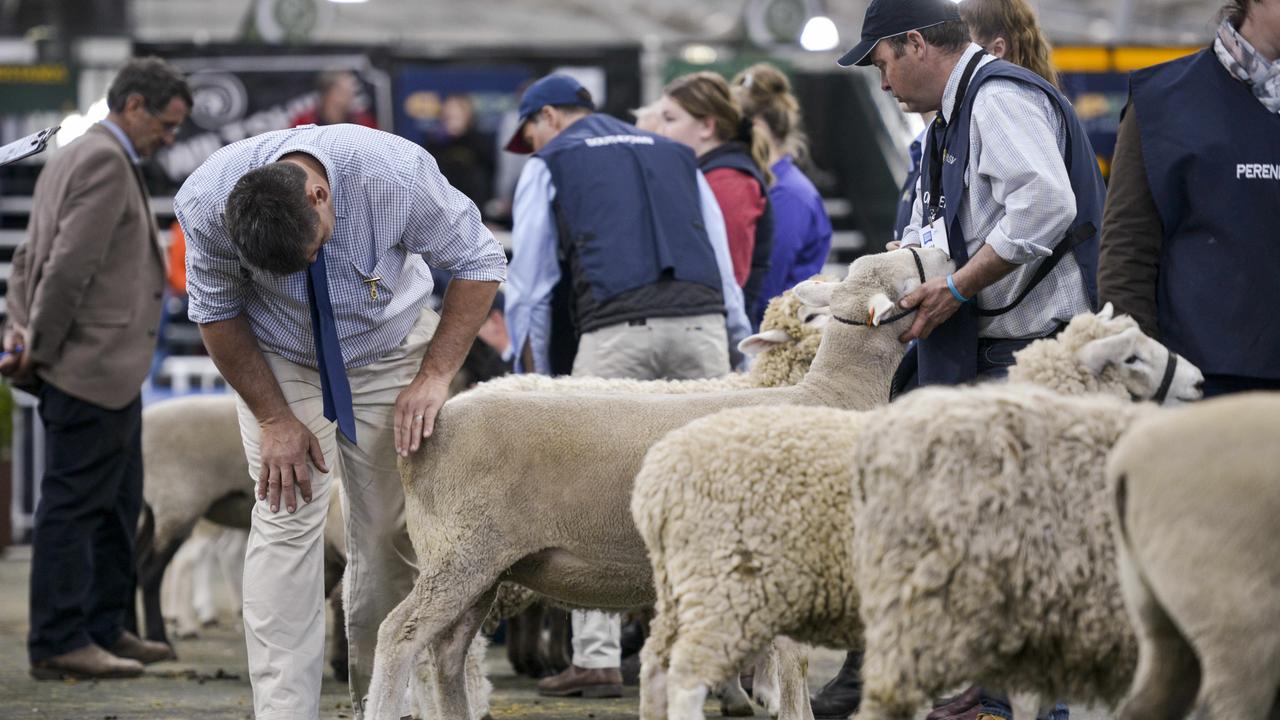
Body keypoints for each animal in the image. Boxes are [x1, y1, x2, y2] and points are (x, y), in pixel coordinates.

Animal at [366, 243, 957, 712]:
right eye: (910, 274)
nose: (944, 251)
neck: (830, 394)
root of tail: (432, 424)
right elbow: (794, 669)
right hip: (461, 554)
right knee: (400, 637)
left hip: (487, 566)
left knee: (445, 653)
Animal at [634, 302, 1203, 717]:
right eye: (1131, 359)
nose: (1199, 382)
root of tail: (658, 480)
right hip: (727, 585)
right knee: (686, 676)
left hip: (688, 586)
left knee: (656, 668)